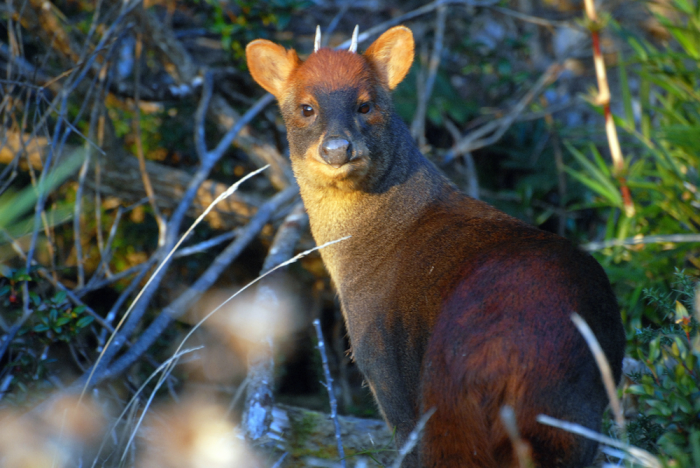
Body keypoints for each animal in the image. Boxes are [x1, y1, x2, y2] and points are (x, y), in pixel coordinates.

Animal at [245, 26, 624, 468]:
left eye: (365, 105)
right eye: (306, 108)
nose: (337, 148)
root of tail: (502, 361)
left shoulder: (382, 366)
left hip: (451, 411)